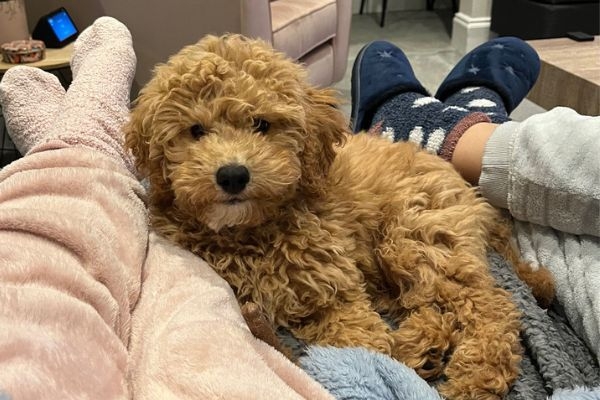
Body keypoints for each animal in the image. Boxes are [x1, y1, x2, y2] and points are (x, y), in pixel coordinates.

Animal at [124, 34, 556, 400]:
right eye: (195, 131)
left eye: (261, 124)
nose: (232, 175)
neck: (251, 232)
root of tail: (470, 191)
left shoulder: (336, 293)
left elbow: (363, 346)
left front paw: (381, 362)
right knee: (434, 304)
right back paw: (422, 346)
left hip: (416, 235)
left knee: (489, 305)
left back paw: (476, 374)